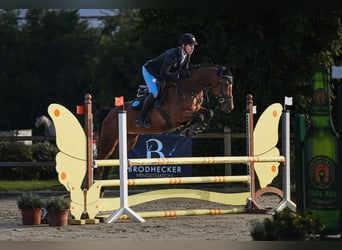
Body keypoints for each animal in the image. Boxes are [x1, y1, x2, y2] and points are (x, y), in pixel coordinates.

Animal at [95, 64, 234, 186]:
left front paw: (193, 129)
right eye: (226, 84)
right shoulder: (177, 115)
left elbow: (208, 113)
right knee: (100, 163)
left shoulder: (196, 110)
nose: (229, 107)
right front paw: (188, 129)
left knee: (110, 164)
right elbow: (199, 116)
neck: (189, 89)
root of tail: (110, 112)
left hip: (129, 139)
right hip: (109, 140)